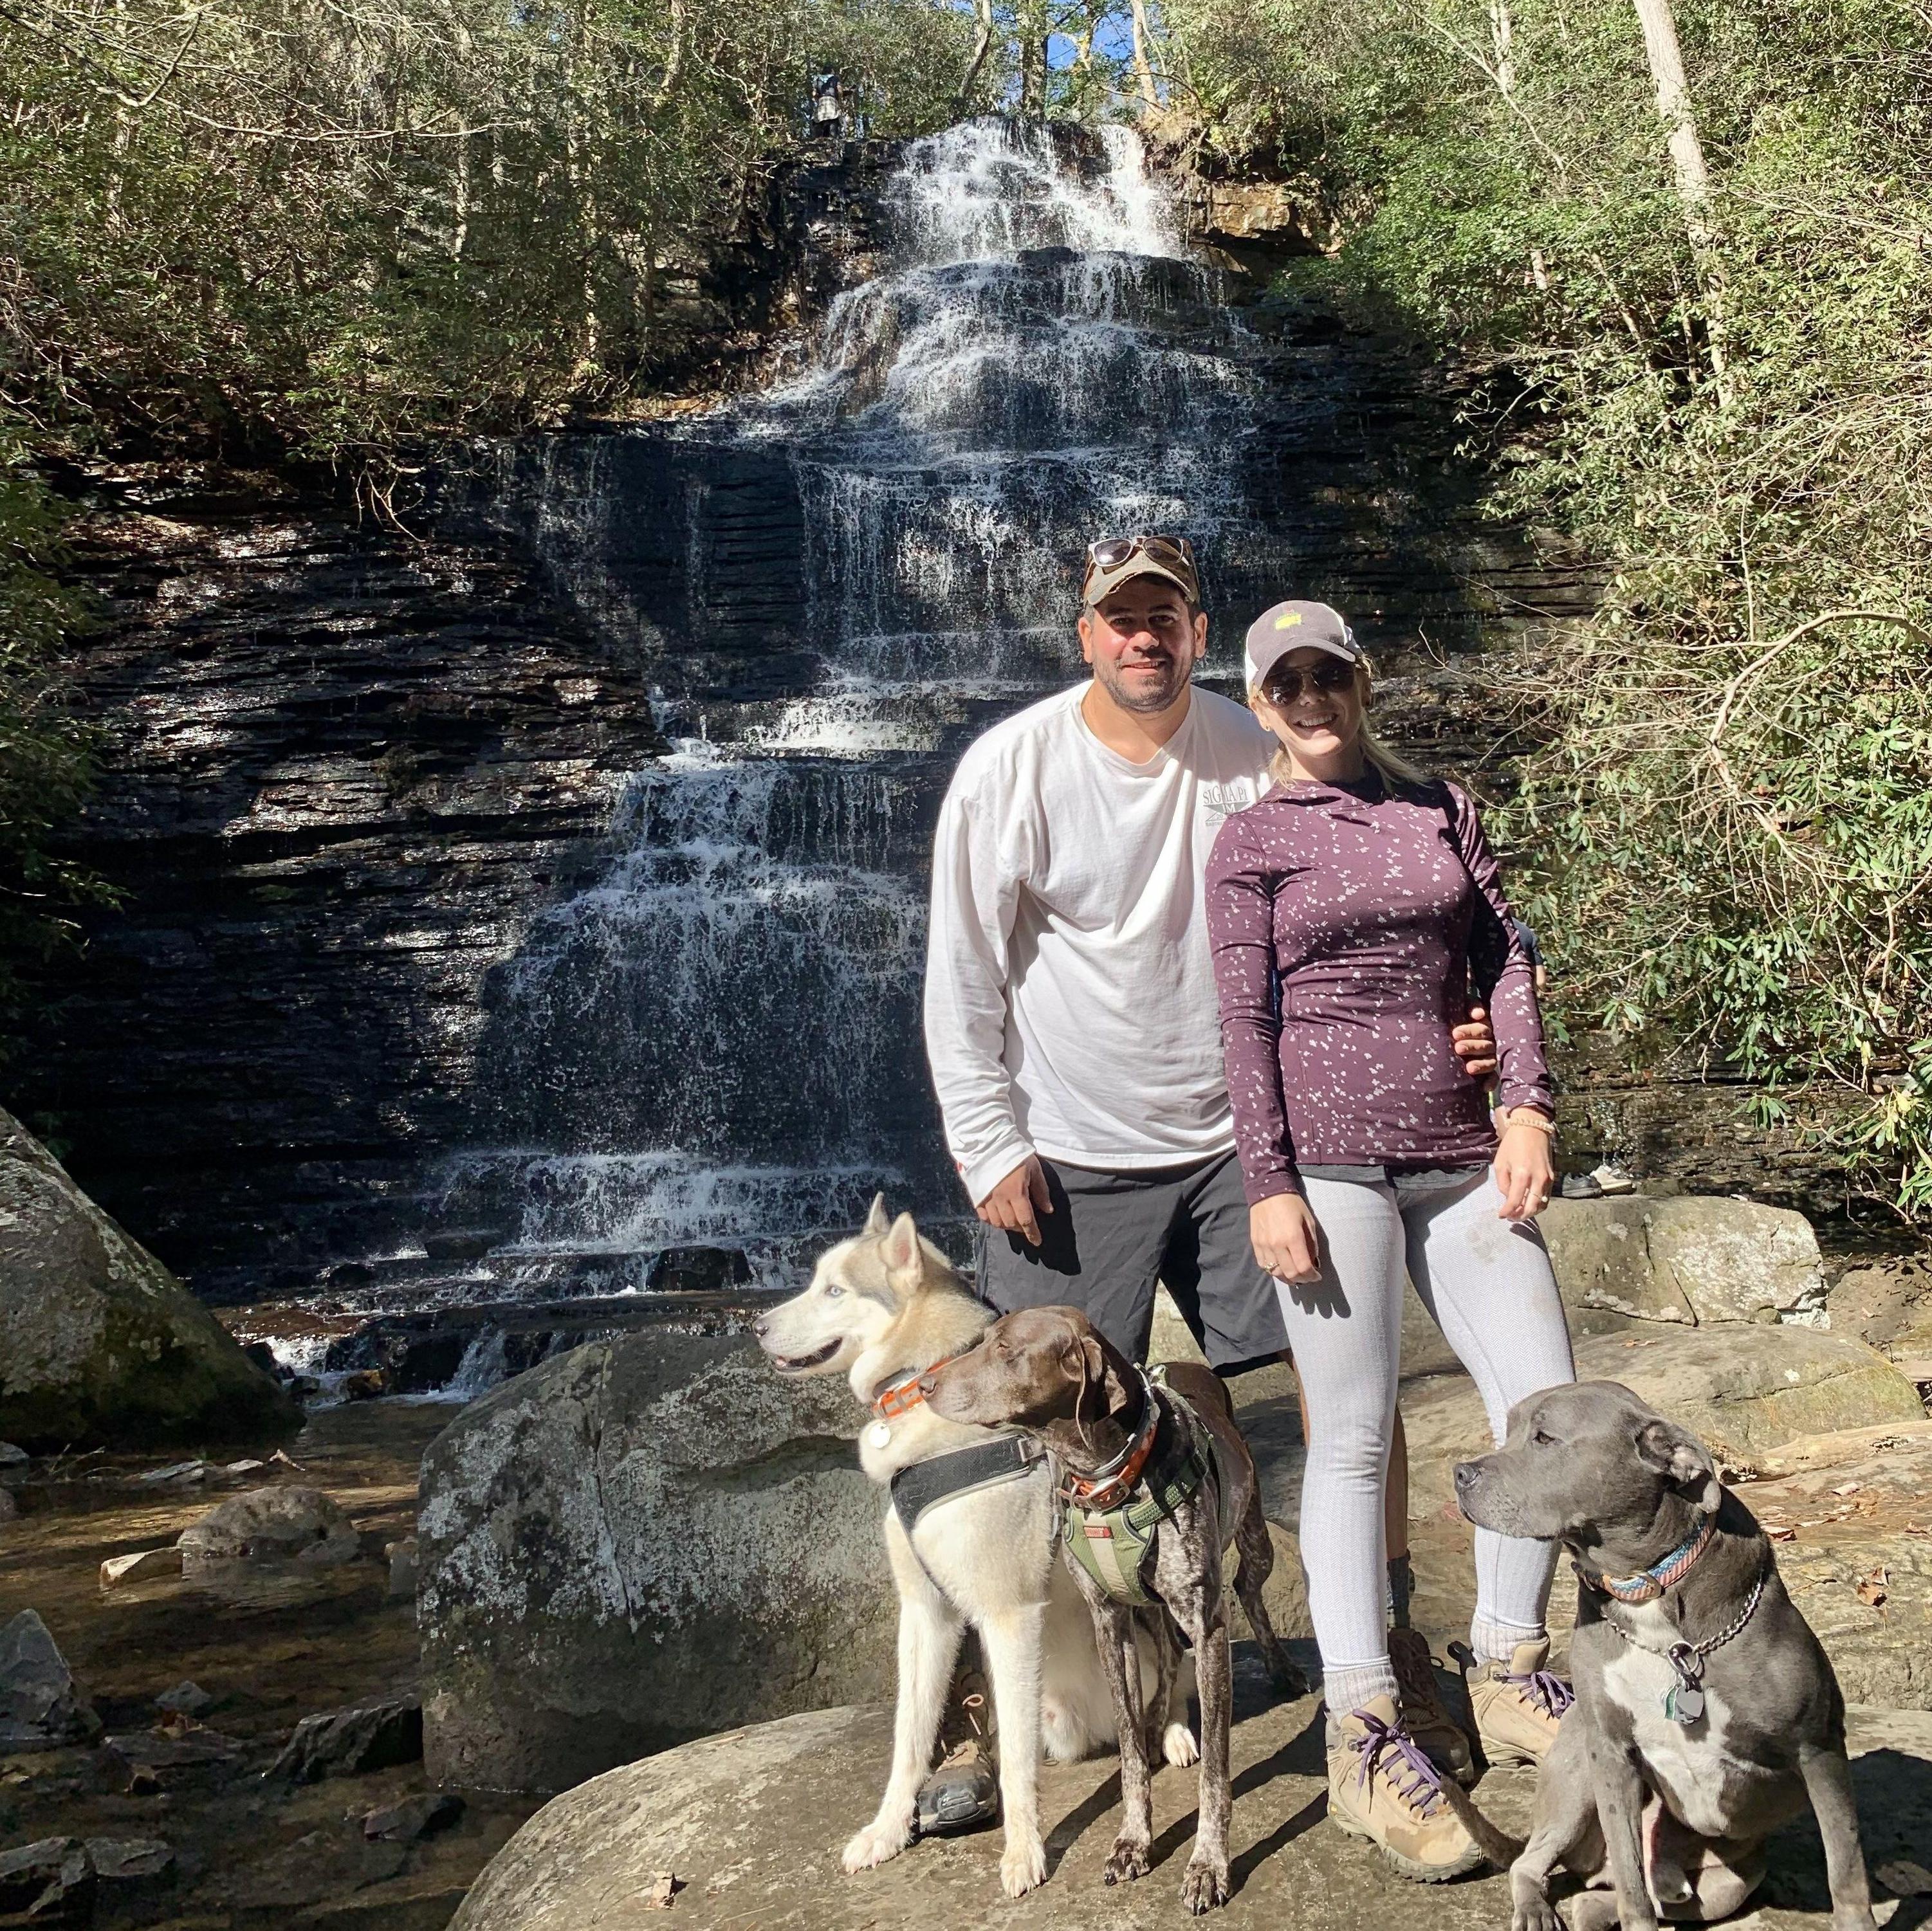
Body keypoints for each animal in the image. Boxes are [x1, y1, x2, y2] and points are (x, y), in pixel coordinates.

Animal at [753, 1189, 1190, 1899]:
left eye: (834, 1289)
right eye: (814, 1282)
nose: (757, 1327)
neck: (918, 1383)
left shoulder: (1008, 1614)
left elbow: (1014, 1761)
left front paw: (1023, 1852)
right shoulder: (926, 1612)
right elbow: (909, 1739)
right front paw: (888, 1831)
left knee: (1173, 1672)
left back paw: (1173, 1729)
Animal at [923, 1305, 1314, 1907]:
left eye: (1007, 1350)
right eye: (985, 1339)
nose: (924, 1385)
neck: (1107, 1478)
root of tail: (1186, 1365)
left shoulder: (1206, 1625)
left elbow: (1216, 1771)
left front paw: (1208, 1865)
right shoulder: (1109, 1619)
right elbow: (1129, 1752)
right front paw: (1133, 1840)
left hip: (1254, 1544)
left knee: (1249, 1594)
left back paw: (1281, 1668)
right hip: (1145, 1608)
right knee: (1167, 1657)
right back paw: (1158, 1723)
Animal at [1453, 1382, 1877, 1931]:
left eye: (1544, 1437)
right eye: (1508, 1431)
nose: (1460, 1473)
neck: (1647, 1590)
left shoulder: (1817, 1747)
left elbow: (1845, 1868)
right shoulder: (1609, 1753)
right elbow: (1632, 1884)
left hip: (1729, 1885)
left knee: (1602, 1898)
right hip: (1575, 1774)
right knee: (1537, 1866)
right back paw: (1535, 1910)